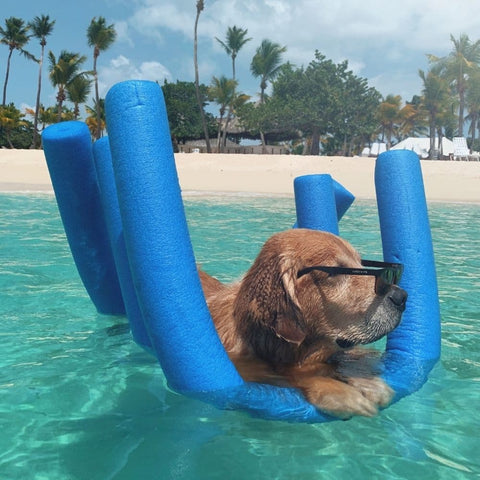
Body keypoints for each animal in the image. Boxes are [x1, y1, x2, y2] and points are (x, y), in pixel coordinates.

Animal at [197, 229, 406, 420]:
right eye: (335, 273)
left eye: (361, 264)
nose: (402, 297)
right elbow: (288, 373)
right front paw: (338, 392)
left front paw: (366, 379)